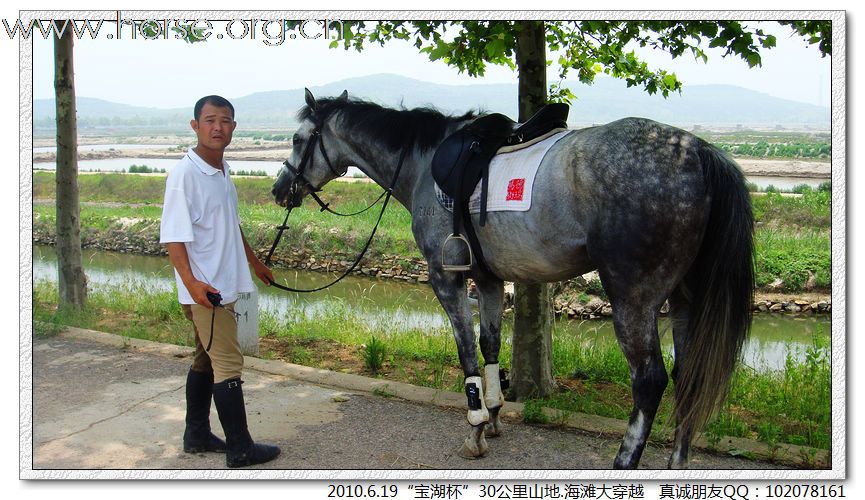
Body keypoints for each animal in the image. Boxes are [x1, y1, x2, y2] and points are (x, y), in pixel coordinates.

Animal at [274, 90, 752, 468]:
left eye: (297, 139)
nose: (280, 189)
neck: (424, 163)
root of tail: (696, 151)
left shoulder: (446, 279)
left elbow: (467, 351)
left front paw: (475, 425)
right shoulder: (487, 280)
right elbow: (490, 347)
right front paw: (495, 414)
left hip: (634, 300)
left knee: (650, 382)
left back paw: (624, 461)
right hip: (685, 298)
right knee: (688, 376)